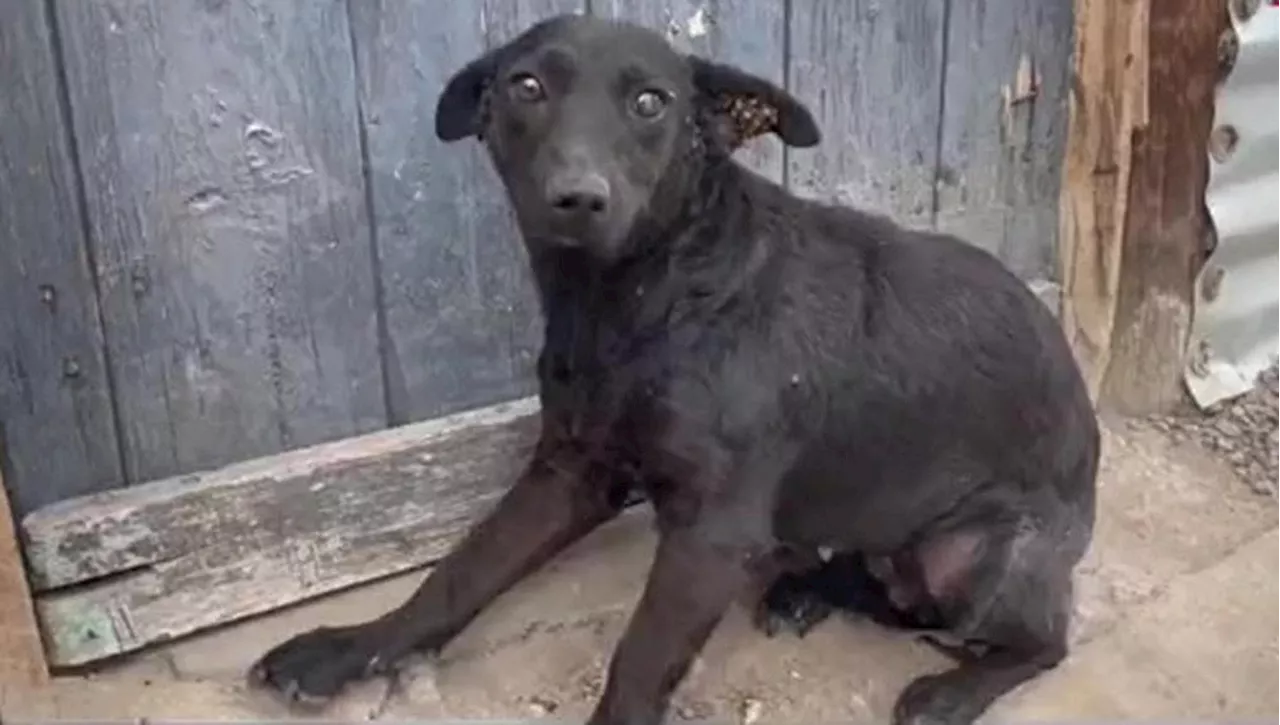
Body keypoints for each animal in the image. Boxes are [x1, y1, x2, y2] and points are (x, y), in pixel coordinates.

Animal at [247, 15, 1100, 725]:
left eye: (652, 102)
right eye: (526, 86)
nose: (577, 198)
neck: (642, 299)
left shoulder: (710, 533)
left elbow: (640, 655)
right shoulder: (570, 472)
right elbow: (458, 571)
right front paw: (351, 647)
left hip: (979, 555)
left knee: (1040, 641)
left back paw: (950, 690)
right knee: (886, 591)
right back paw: (804, 590)